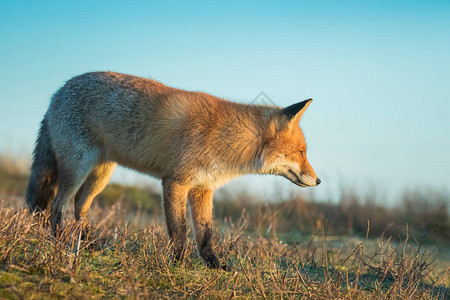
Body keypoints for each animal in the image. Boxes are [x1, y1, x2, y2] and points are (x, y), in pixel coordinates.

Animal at [26, 71, 320, 268]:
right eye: (301, 153)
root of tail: (58, 91)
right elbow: (179, 230)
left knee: (80, 205)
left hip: (101, 175)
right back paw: (59, 240)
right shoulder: (175, 182)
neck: (227, 141)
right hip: (78, 168)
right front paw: (178, 264)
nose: (318, 181)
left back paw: (89, 243)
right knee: (58, 205)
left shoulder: (203, 189)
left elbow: (205, 234)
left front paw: (215, 266)